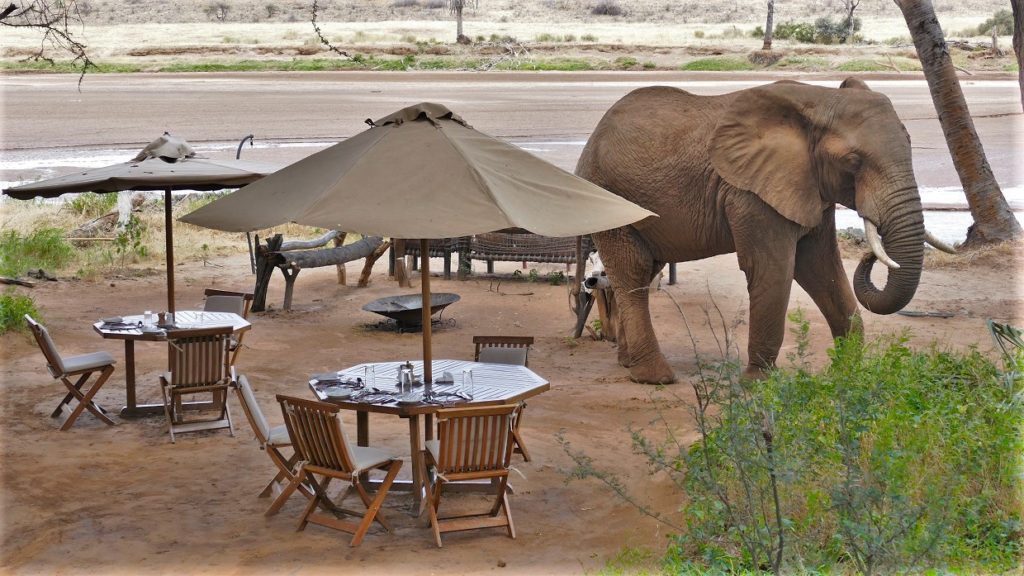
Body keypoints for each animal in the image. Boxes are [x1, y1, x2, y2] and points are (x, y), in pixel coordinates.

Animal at [577, 76, 950, 381]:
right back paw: (654, 377)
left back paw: (628, 363)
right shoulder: (750, 194)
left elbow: (821, 268)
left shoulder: (809, 188)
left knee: (642, 270)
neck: (820, 99)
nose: (871, 255)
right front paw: (759, 384)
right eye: (852, 161)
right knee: (634, 271)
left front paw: (848, 376)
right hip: (607, 196)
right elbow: (774, 269)